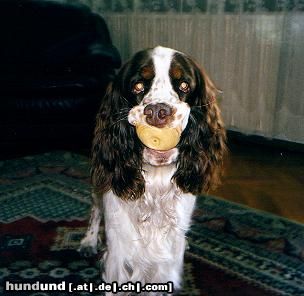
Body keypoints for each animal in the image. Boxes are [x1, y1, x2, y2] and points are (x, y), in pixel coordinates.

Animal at [78, 45, 226, 294]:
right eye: (138, 86)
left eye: (184, 85)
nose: (157, 112)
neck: (156, 183)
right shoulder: (118, 249)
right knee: (95, 208)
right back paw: (88, 241)